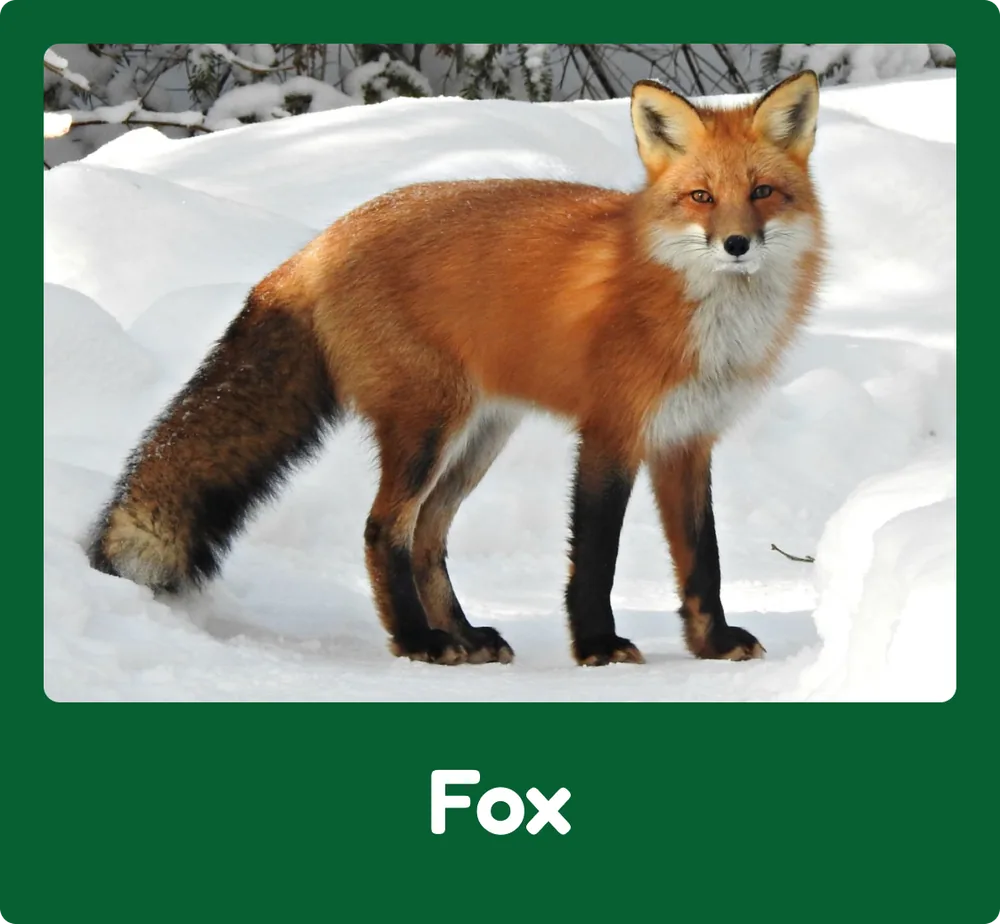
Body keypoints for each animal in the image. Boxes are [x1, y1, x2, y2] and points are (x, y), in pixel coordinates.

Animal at [88, 71, 825, 669]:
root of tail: (317, 245)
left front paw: (712, 644)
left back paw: (464, 636)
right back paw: (419, 642)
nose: (737, 244)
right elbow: (595, 557)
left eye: (763, 192)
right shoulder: (610, 433)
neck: (698, 313)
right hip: (428, 428)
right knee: (383, 530)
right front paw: (596, 646)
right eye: (701, 196)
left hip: (479, 437)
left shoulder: (687, 440)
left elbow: (704, 560)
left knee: (427, 537)